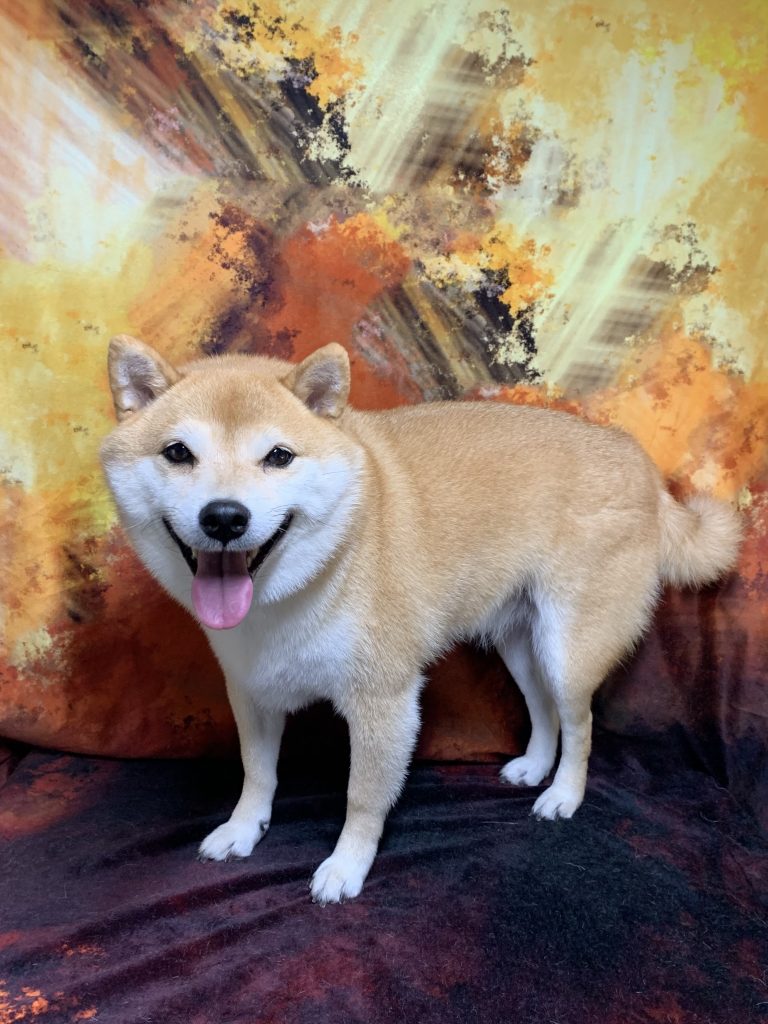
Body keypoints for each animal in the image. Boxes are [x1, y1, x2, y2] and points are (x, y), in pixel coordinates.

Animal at [100, 335, 741, 903]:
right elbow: (257, 773)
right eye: (178, 453)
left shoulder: (383, 702)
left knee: (580, 723)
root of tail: (643, 466)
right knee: (543, 711)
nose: (225, 517)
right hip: (519, 642)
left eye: (278, 456)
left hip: (568, 648)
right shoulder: (253, 690)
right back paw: (535, 766)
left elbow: (362, 798)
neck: (302, 585)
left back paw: (564, 793)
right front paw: (242, 828)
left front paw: (346, 867)